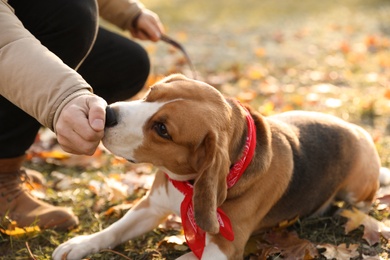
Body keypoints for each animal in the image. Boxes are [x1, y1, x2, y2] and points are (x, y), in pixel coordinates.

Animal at [52, 74, 380, 258]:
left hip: (357, 188)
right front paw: (80, 244)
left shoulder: (224, 247)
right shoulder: (151, 206)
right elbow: (114, 230)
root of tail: (358, 130)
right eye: (151, 93)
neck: (187, 184)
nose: (107, 113)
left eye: (162, 129)